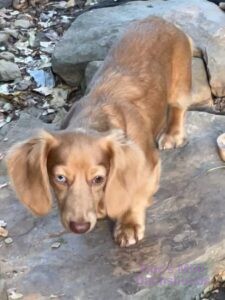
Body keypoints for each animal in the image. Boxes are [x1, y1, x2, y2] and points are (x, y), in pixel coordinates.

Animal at [7, 17, 192, 248]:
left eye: (98, 179)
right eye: (59, 178)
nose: (79, 227)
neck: (93, 118)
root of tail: (159, 19)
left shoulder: (148, 165)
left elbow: (134, 196)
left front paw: (128, 225)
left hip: (179, 84)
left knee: (178, 108)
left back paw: (172, 134)